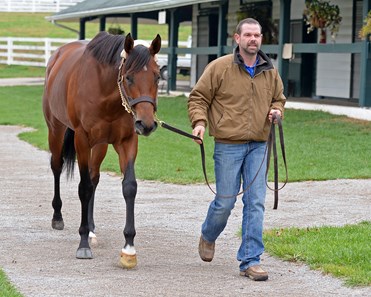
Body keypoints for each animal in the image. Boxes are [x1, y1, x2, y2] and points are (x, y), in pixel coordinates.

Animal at [42, 31, 161, 268]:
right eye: (129, 77)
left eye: (157, 77)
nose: (146, 124)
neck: (105, 92)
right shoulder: (81, 140)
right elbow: (84, 187)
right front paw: (82, 243)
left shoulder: (127, 141)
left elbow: (129, 187)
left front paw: (129, 249)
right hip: (56, 129)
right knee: (57, 167)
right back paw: (58, 217)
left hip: (100, 145)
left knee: (94, 176)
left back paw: (92, 228)